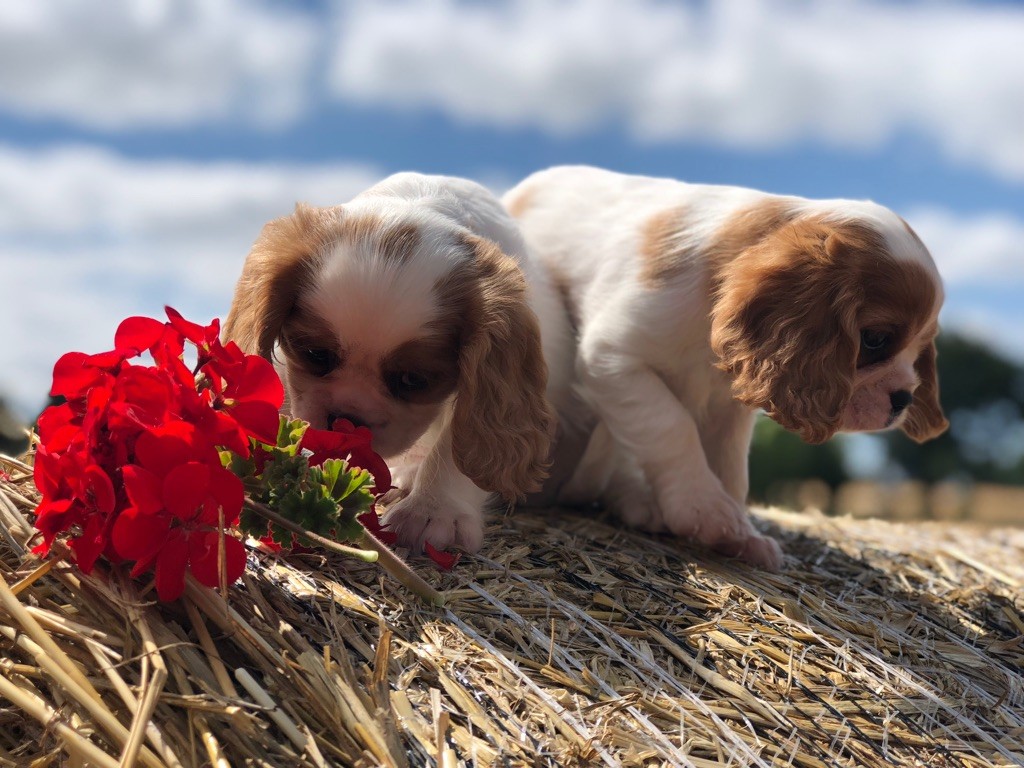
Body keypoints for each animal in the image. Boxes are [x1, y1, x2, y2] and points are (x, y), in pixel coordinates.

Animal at [507, 165, 946, 569]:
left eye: (920, 350)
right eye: (874, 339)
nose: (903, 399)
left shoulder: (728, 405)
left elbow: (732, 468)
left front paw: (740, 535)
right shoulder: (612, 359)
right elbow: (672, 426)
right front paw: (705, 510)